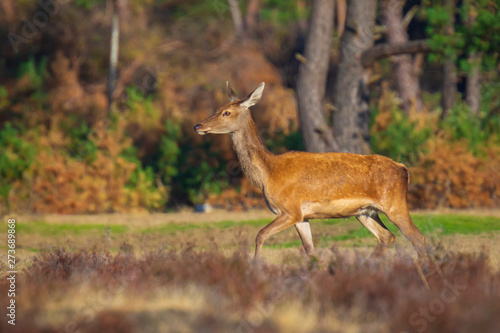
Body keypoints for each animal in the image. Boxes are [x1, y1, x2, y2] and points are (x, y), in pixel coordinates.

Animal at [194, 81, 426, 258]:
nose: (198, 126)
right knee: (387, 236)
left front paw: (255, 266)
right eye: (217, 108)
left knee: (418, 238)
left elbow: (260, 235)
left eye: (226, 112)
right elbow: (309, 250)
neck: (268, 175)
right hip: (365, 212)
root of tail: (405, 170)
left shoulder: (290, 209)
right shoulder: (301, 217)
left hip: (394, 203)